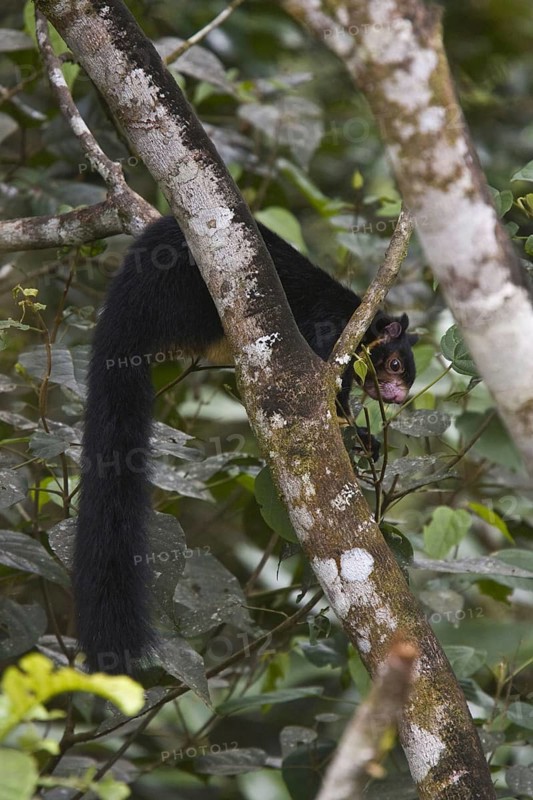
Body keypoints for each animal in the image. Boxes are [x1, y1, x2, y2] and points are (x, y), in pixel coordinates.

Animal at [73, 215, 417, 673]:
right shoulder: (330, 333)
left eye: (407, 376)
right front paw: (359, 438)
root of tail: (128, 298)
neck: (358, 322)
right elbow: (325, 396)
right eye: (394, 365)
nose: (398, 396)